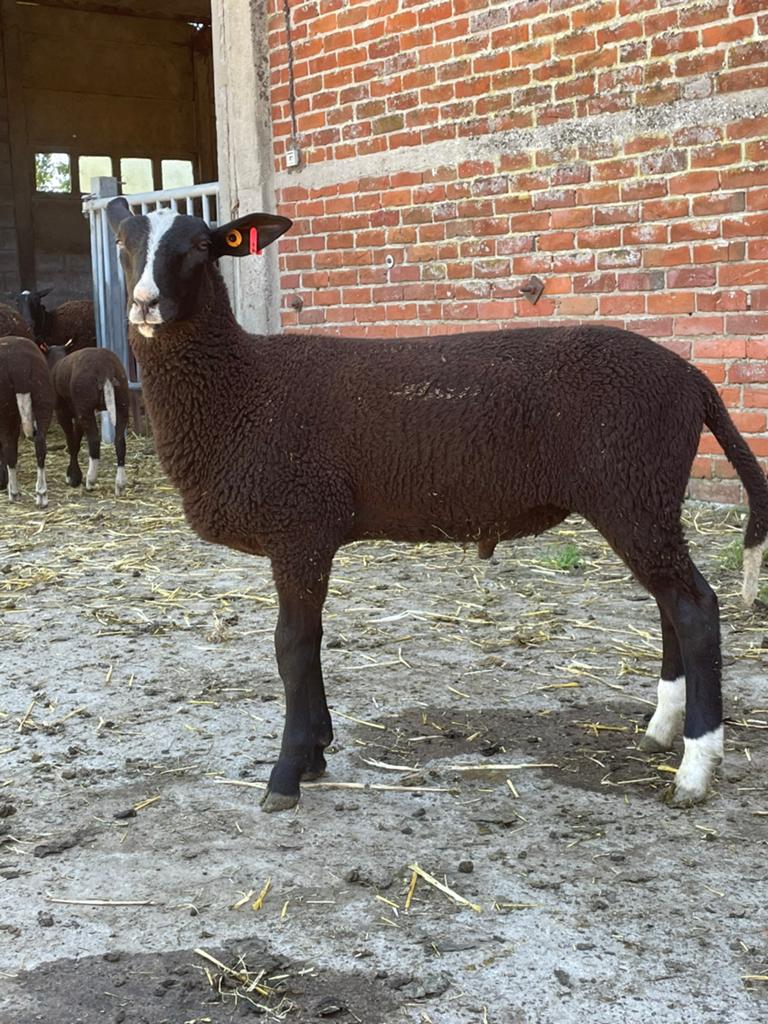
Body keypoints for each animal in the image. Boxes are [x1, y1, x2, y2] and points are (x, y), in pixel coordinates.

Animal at [0, 336, 54, 507]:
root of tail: (20, 366)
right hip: (43, 398)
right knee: (40, 445)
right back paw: (41, 494)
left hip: (6, 410)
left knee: (9, 448)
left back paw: (14, 492)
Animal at [46, 342, 130, 496]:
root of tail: (105, 367)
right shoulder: (78, 414)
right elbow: (76, 441)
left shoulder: (62, 412)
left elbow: (71, 442)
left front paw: (73, 477)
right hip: (122, 403)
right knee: (120, 442)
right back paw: (120, 484)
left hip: (85, 407)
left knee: (94, 441)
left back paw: (90, 480)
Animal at [106, 196, 768, 814]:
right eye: (121, 243)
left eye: (201, 246)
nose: (144, 303)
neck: (242, 388)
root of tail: (693, 378)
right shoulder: (308, 533)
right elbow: (311, 642)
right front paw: (317, 749)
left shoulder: (301, 525)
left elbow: (292, 647)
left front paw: (288, 772)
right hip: (645, 498)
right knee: (670, 605)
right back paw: (661, 730)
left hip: (633, 490)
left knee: (695, 609)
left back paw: (695, 767)